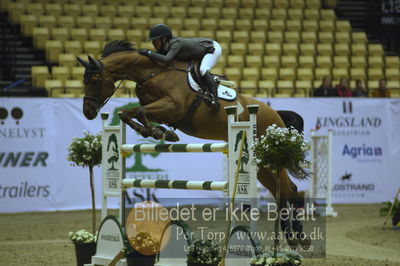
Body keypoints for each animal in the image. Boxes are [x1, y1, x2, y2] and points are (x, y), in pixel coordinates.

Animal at [79, 40, 310, 247]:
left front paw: (158, 132)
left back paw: (299, 236)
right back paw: (291, 237)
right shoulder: (159, 108)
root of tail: (275, 115)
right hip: (260, 165)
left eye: (93, 81)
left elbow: (139, 111)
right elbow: (128, 113)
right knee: (281, 192)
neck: (152, 72)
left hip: (267, 157)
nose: (88, 113)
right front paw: (160, 132)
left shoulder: (172, 106)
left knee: (289, 190)